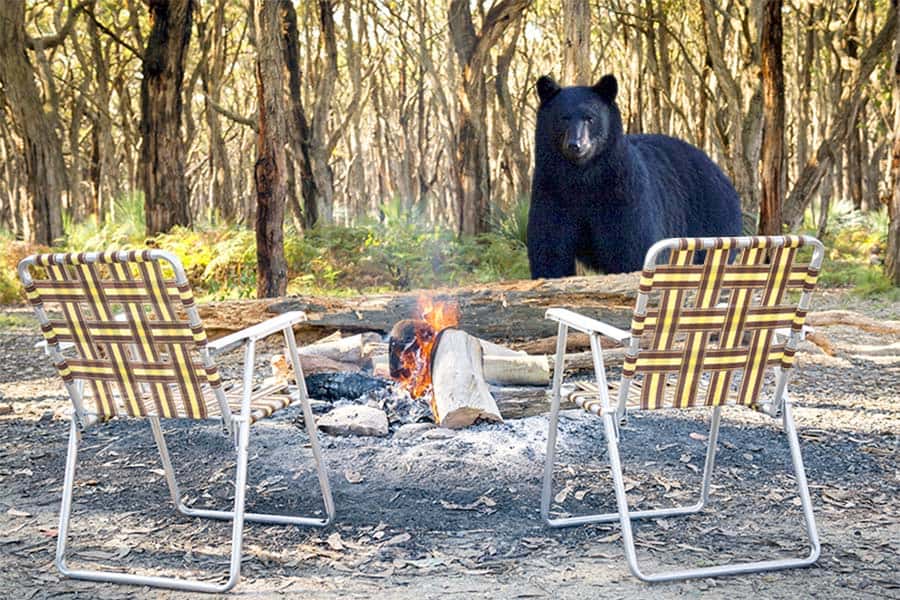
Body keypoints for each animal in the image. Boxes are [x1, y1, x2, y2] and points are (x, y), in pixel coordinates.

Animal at [524, 75, 740, 278]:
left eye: (590, 118)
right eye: (564, 117)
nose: (575, 145)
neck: (583, 179)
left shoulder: (623, 194)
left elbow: (631, 249)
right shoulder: (552, 192)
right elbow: (550, 250)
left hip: (710, 219)